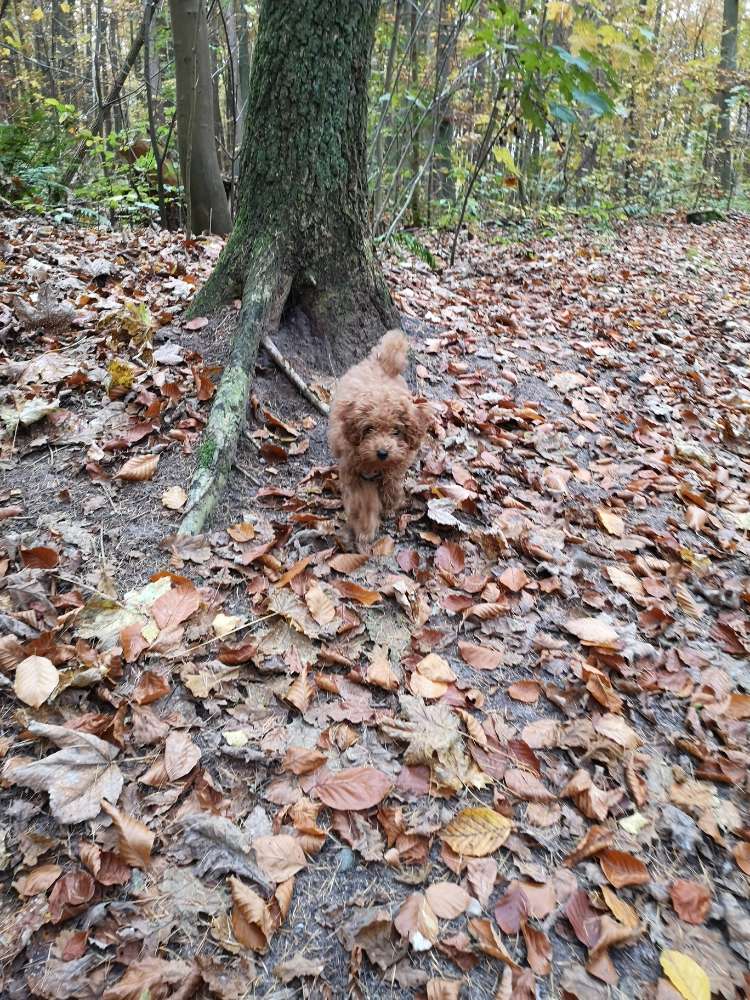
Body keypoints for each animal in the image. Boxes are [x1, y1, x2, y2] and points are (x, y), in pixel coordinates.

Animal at [328, 328, 432, 552]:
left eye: (396, 431)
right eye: (369, 429)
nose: (383, 452)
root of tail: (383, 362)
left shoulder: (397, 462)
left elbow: (392, 483)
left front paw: (390, 504)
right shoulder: (354, 473)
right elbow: (363, 503)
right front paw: (365, 530)